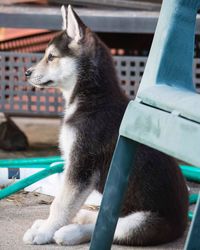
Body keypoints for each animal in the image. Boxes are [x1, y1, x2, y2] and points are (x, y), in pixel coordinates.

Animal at [22, 5, 188, 246]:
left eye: (51, 57)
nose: (26, 72)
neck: (92, 98)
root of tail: (184, 224)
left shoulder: (82, 165)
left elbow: (60, 204)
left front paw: (45, 231)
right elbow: (64, 202)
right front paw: (45, 226)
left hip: (142, 222)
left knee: (111, 228)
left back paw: (69, 232)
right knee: (104, 217)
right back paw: (81, 217)